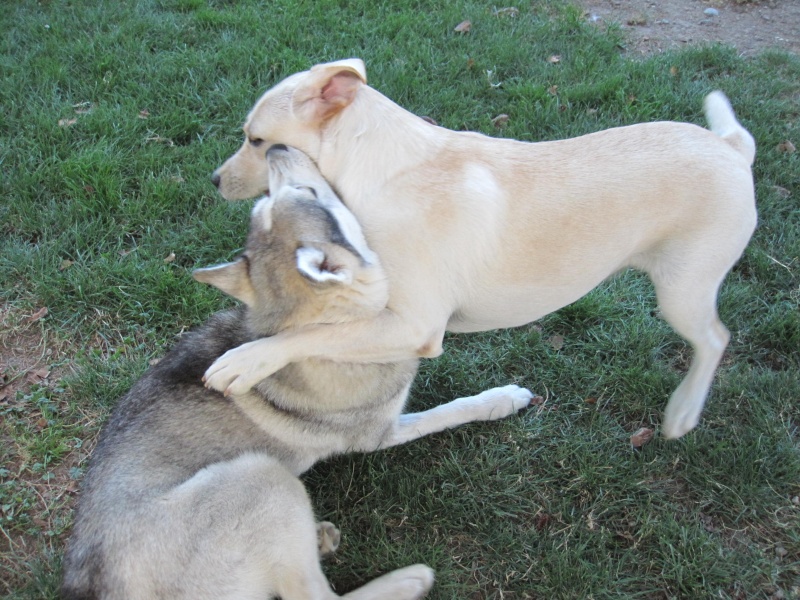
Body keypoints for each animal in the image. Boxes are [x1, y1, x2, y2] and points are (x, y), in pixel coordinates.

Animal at [206, 58, 756, 438]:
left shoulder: (415, 326)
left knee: (716, 338)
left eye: (257, 140)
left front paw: (245, 360)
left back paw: (683, 412)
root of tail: (731, 148)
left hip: (681, 291)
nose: (213, 180)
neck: (380, 169)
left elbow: (313, 333)